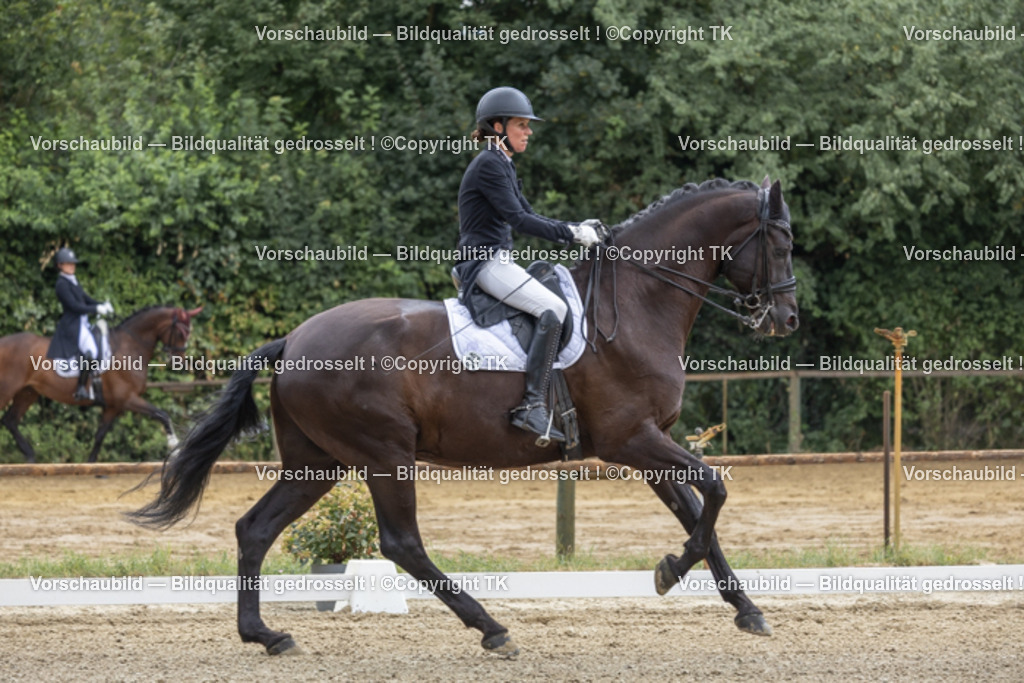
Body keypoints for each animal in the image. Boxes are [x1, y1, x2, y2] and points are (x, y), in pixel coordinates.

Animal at [0, 305, 202, 463]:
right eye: (182, 332)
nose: (179, 360)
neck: (129, 347)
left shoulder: (113, 406)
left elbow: (99, 436)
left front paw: (90, 464)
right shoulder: (128, 399)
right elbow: (162, 415)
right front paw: (175, 449)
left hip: (27, 393)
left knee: (10, 421)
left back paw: (30, 455)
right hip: (8, 391)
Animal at [129, 176, 798, 657]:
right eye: (782, 242)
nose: (786, 319)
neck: (635, 303)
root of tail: (292, 341)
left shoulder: (651, 439)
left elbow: (696, 511)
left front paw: (745, 609)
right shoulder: (630, 439)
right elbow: (712, 493)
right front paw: (668, 572)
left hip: (318, 462)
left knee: (256, 529)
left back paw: (266, 636)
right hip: (383, 455)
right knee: (401, 543)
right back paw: (492, 629)